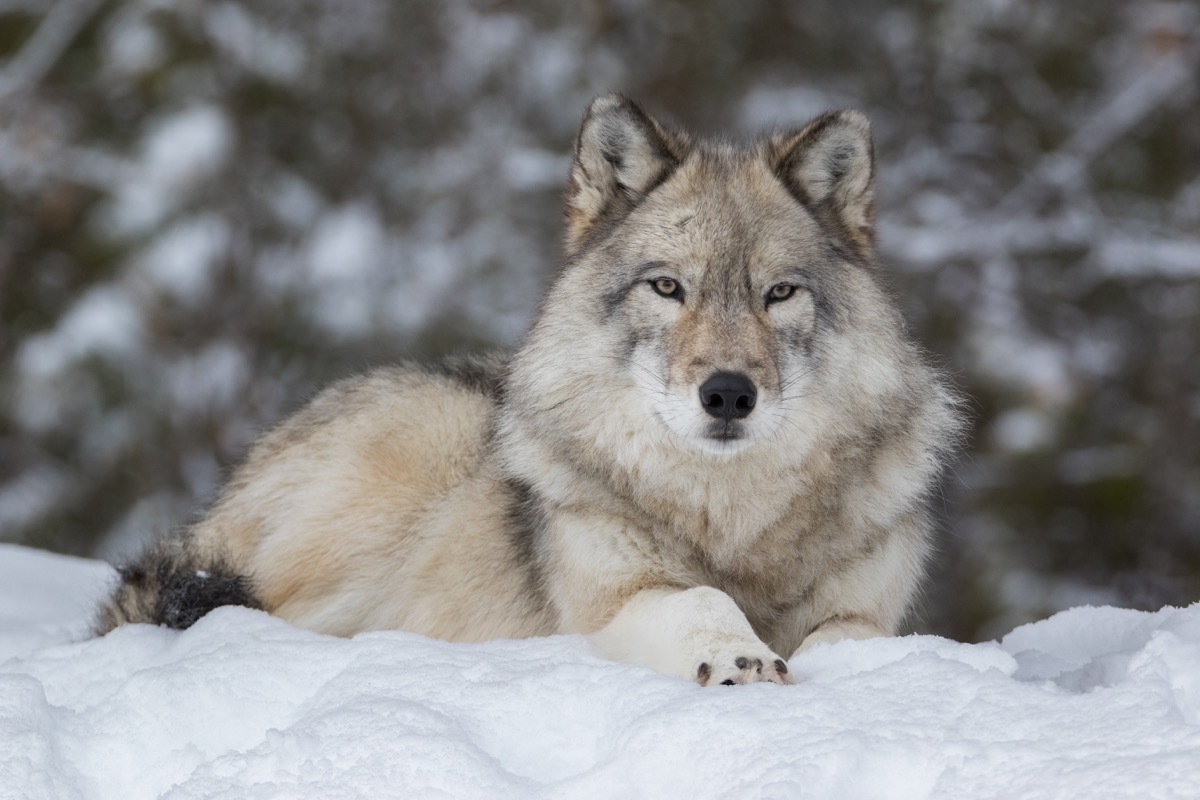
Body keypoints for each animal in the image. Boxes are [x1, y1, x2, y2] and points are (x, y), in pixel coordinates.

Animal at [100, 90, 964, 686]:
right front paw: (738, 657)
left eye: (778, 294)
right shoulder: (611, 602)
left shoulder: (867, 610)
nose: (727, 394)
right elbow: (701, 601)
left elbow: (858, 637)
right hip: (416, 459)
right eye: (668, 288)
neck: (733, 524)